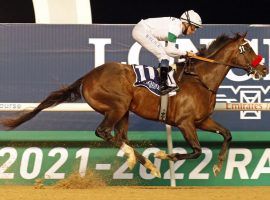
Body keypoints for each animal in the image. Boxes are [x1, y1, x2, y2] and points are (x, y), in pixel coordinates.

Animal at [1, 33, 268, 178]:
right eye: (247, 48)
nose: (263, 68)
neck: (200, 79)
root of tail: (88, 76)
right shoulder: (185, 123)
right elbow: (196, 151)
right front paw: (164, 155)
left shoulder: (202, 120)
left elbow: (227, 134)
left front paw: (218, 166)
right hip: (117, 106)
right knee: (103, 132)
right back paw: (141, 160)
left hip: (124, 111)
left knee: (120, 136)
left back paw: (146, 163)